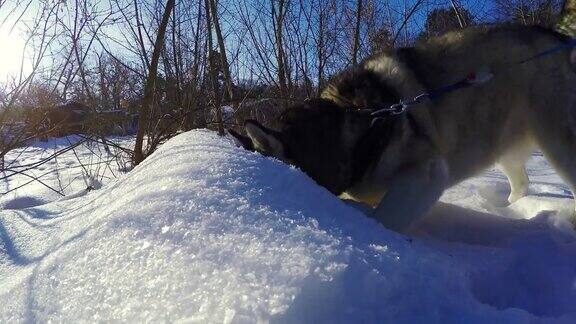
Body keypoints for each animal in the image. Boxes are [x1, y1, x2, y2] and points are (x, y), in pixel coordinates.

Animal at [234, 26, 576, 232]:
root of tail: (558, 37)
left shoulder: (425, 174)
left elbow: (384, 219)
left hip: (558, 142)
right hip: (501, 140)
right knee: (522, 182)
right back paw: (508, 208)